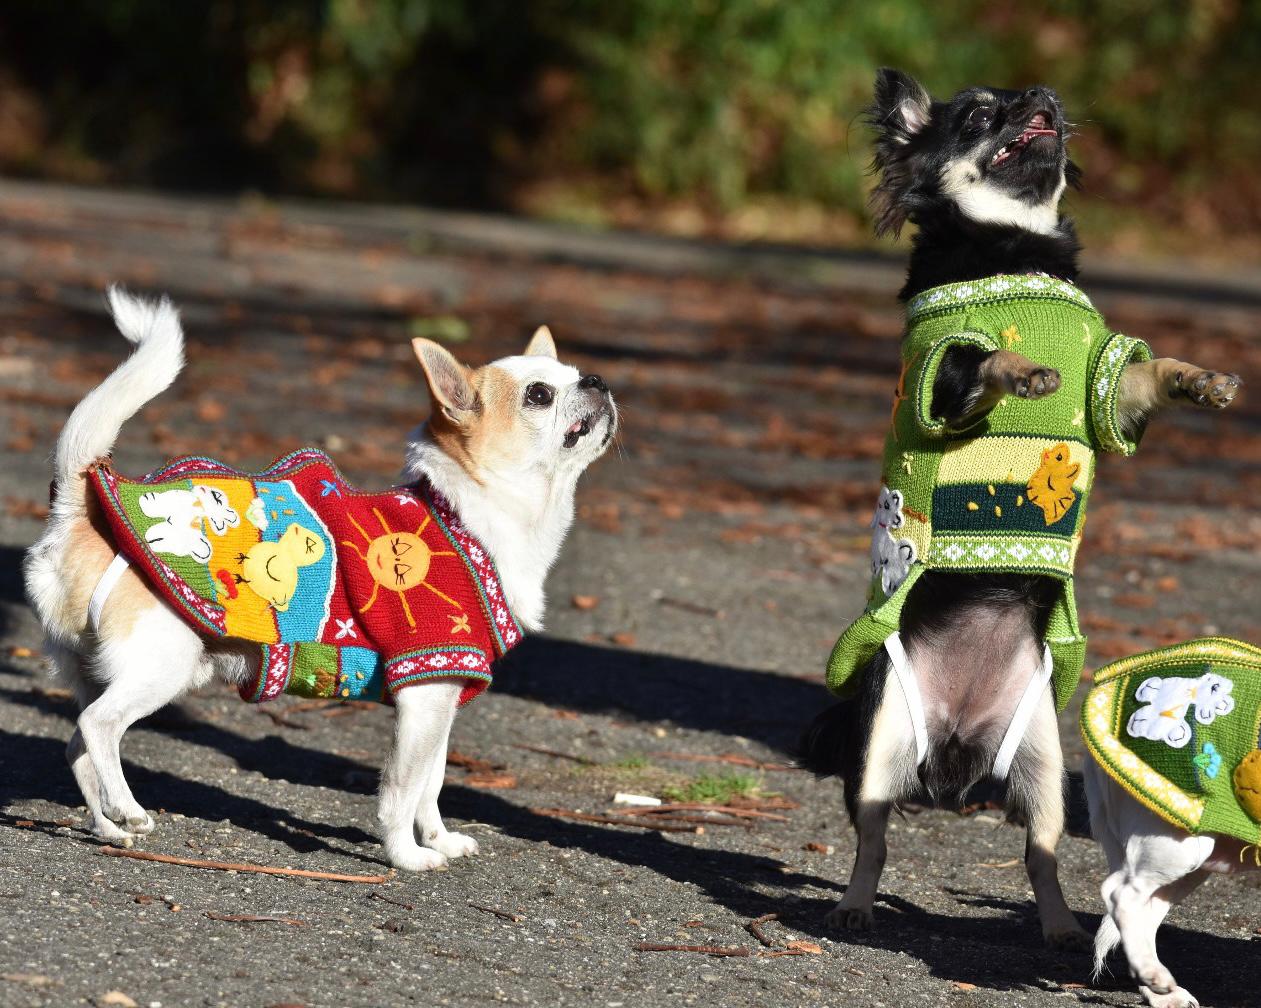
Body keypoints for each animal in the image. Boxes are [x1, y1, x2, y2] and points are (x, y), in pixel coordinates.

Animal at [24, 287, 616, 871]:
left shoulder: (440, 697)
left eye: (574, 373)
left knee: (76, 747)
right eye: (538, 395)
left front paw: (440, 840)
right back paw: (129, 809)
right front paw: (406, 856)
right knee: (98, 727)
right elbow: (401, 790)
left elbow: (432, 782)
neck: (469, 514)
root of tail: (81, 512)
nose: (597, 380)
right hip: (160, 667)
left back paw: (108, 828)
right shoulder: (424, 694)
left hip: (95, 671)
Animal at [798, 68, 1241, 948]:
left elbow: (1150, 368)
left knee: (1040, 858)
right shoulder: (941, 378)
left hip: (1040, 766)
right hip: (879, 743)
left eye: (1043, 104)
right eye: (977, 112)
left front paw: (1202, 378)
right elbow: (985, 357)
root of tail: (954, 744)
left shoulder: (1110, 394)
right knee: (872, 840)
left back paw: (1062, 928)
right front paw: (1028, 369)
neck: (1016, 249)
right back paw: (855, 907)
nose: (1042, 95)